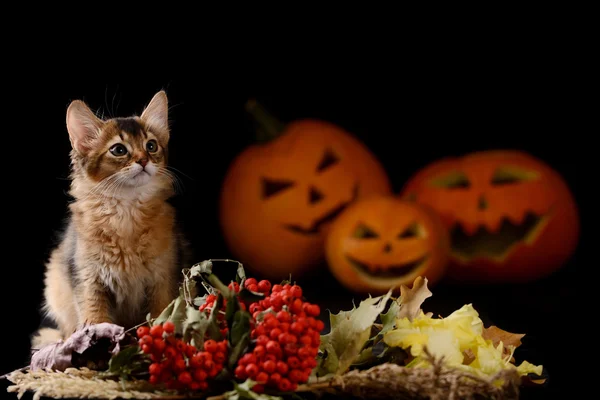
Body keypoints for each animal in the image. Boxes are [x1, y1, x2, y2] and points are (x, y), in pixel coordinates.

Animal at [32, 92, 190, 348]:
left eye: (151, 145)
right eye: (118, 150)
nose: (144, 160)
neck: (126, 211)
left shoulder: (163, 276)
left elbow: (160, 314)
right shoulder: (88, 278)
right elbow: (95, 319)